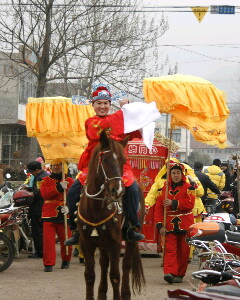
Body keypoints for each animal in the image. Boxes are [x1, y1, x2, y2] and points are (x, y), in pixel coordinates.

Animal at [77, 131, 144, 300]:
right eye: (105, 159)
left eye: (124, 160)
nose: (118, 191)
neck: (95, 208)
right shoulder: (86, 243)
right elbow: (89, 275)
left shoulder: (115, 243)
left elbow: (115, 275)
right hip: (102, 243)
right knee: (103, 263)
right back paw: (102, 293)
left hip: (129, 239)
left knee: (126, 265)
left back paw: (125, 294)